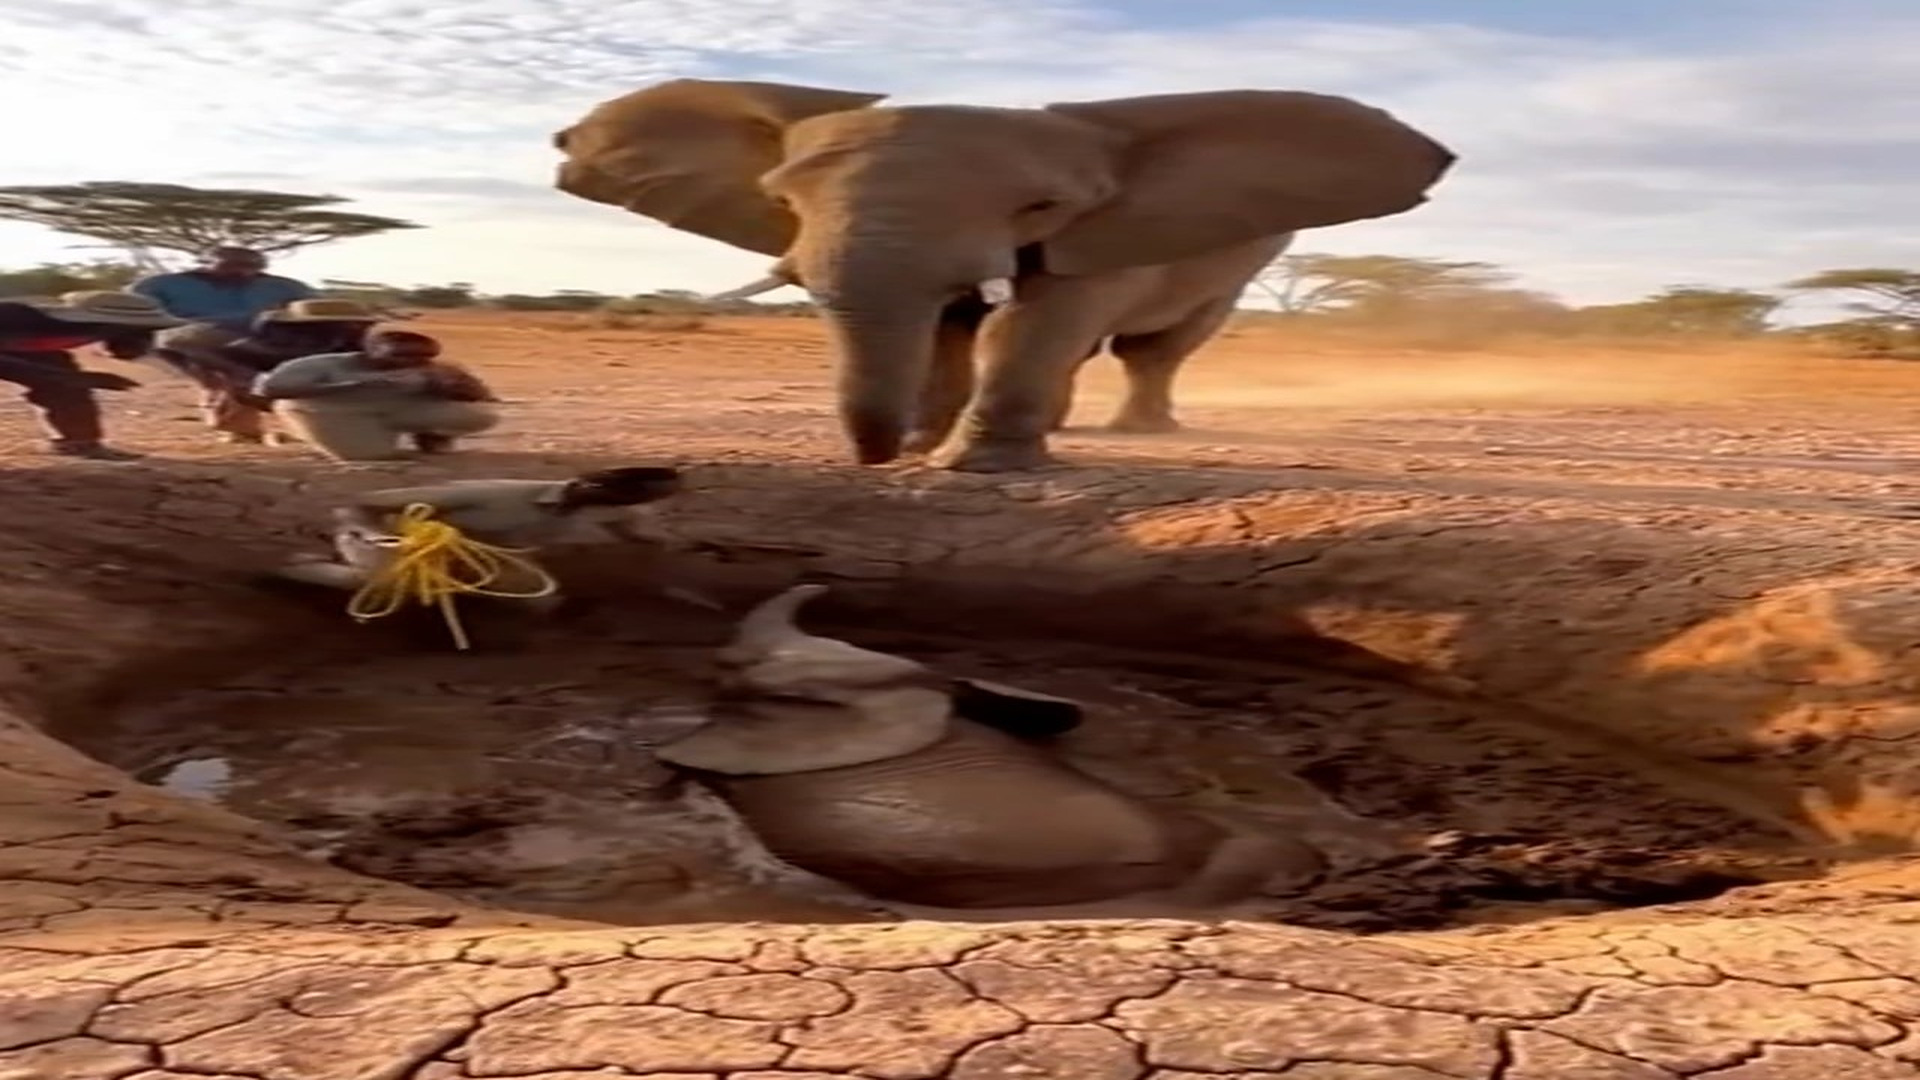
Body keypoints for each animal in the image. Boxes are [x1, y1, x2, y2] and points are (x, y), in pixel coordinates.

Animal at [552, 79, 1455, 472]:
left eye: (1041, 203)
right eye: (781, 199)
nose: (876, 460)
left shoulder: (1102, 231)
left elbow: (1041, 318)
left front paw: (970, 468)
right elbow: (953, 326)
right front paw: (927, 448)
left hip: (1245, 259)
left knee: (1155, 346)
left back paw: (1139, 433)